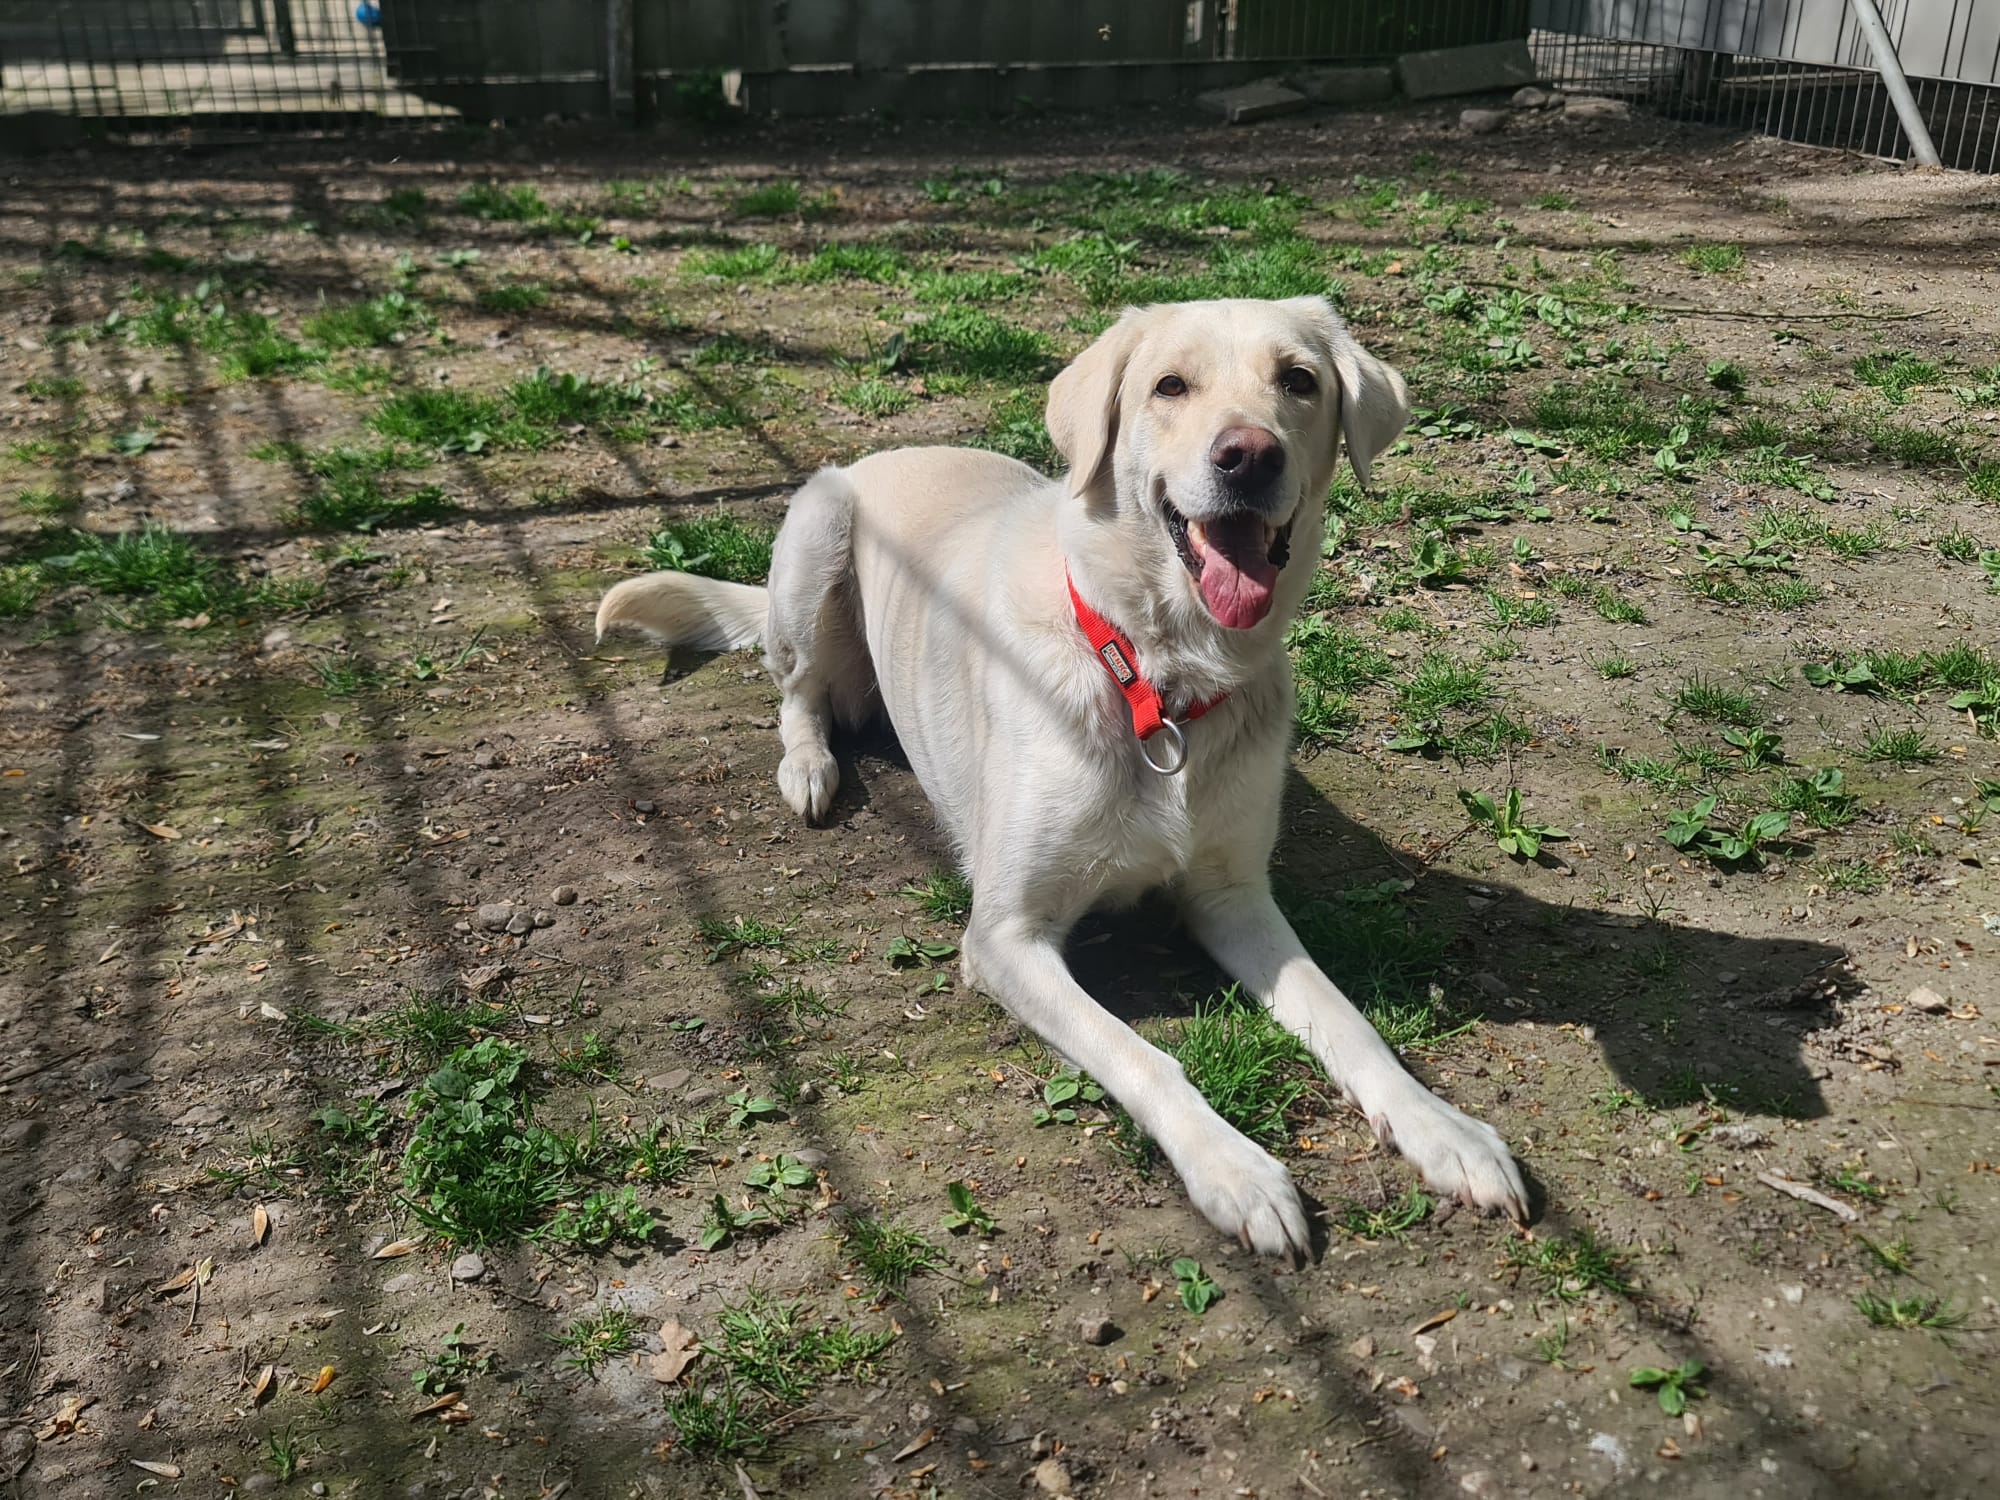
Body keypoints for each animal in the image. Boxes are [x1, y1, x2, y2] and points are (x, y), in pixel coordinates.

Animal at [598, 296, 1526, 1261]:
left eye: (1299, 381)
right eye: (1170, 385)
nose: (1249, 454)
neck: (1155, 676)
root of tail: (881, 454)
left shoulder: (1233, 898)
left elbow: (1350, 1021)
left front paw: (1444, 1131)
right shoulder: (1007, 937)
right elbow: (1146, 1056)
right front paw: (1235, 1170)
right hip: (816, 539)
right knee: (796, 690)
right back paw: (810, 764)